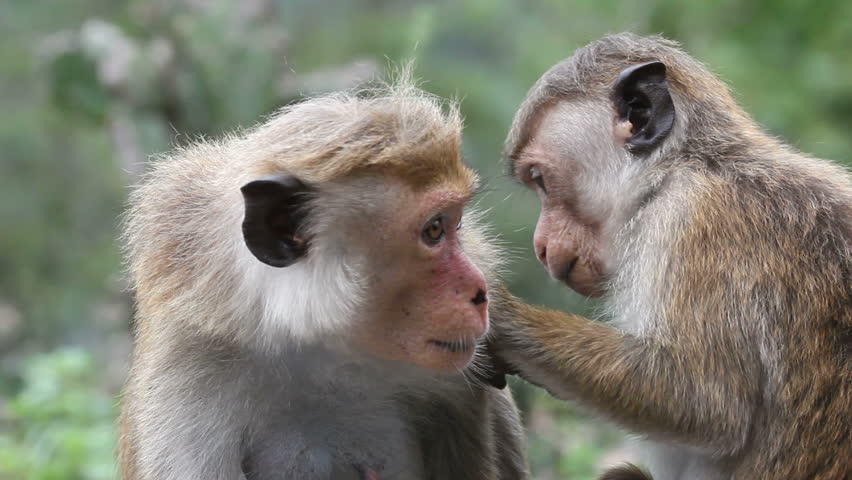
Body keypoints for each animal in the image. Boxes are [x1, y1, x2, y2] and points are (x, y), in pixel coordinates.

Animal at [488, 33, 851, 480]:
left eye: (540, 180)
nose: (540, 245)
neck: (685, 166)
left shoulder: (689, 218)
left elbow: (707, 403)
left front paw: (497, 315)